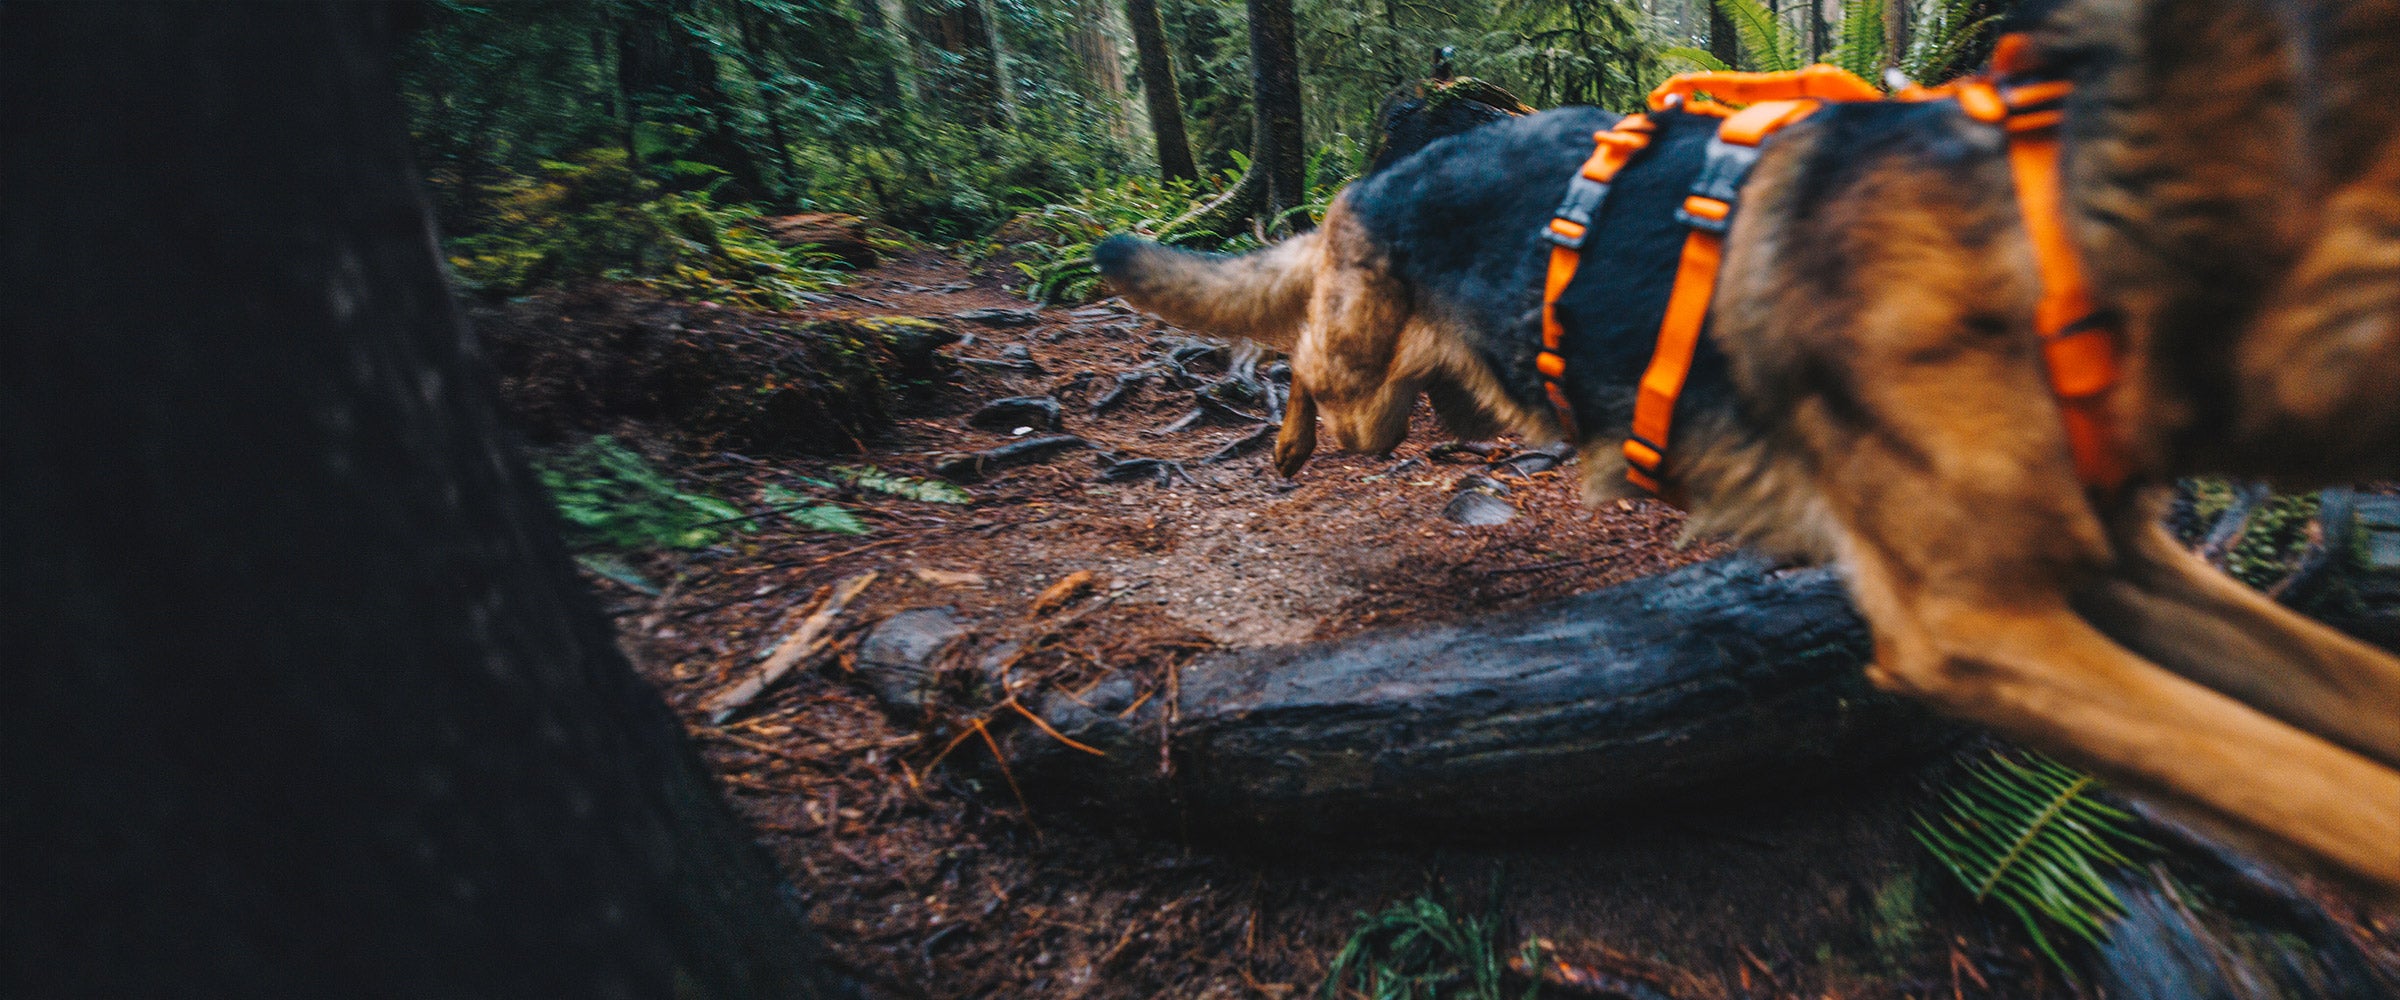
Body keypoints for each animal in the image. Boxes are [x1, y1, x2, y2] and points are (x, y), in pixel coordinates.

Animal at [1099, 0, 2400, 892]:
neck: (2058, 234)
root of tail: (1385, 167)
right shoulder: (1983, 630)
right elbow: (2314, 781)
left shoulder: (2124, 574)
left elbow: (2345, 696)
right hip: (1358, 378)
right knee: (1301, 348)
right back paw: (1280, 436)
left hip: (1426, 396)